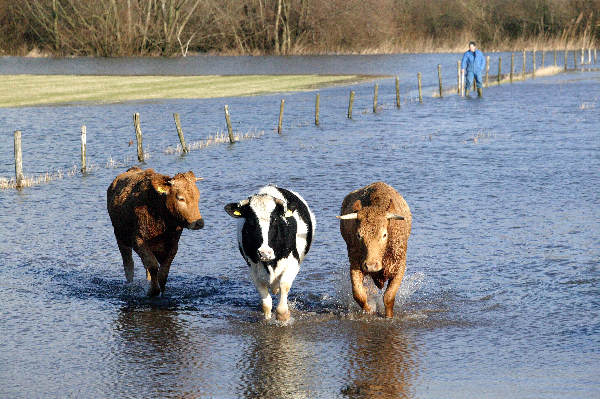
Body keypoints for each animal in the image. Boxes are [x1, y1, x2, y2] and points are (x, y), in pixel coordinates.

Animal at [106, 166, 203, 296]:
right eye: (180, 198)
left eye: (198, 196)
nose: (199, 223)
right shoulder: (138, 240)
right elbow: (152, 265)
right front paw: (153, 291)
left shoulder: (173, 245)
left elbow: (163, 272)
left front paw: (161, 289)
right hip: (121, 238)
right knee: (129, 265)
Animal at [225, 186, 316, 324]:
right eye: (251, 221)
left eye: (274, 220)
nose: (264, 252)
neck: (270, 263)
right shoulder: (253, 270)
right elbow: (266, 303)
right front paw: (267, 320)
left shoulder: (293, 263)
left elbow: (284, 287)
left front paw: (283, 317)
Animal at [338, 182, 412, 318]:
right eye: (359, 235)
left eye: (384, 235)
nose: (371, 265)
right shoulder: (355, 263)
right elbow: (359, 294)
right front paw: (369, 310)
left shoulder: (399, 266)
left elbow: (389, 296)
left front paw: (388, 316)